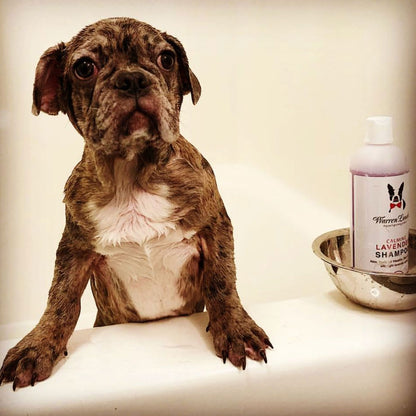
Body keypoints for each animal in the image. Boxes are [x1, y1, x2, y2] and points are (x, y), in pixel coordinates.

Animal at [0, 17, 272, 390]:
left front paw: (235, 329)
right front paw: (37, 345)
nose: (133, 79)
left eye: (166, 59)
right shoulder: (74, 248)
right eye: (84, 67)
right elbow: (60, 299)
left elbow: (222, 280)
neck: (131, 175)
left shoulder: (214, 226)